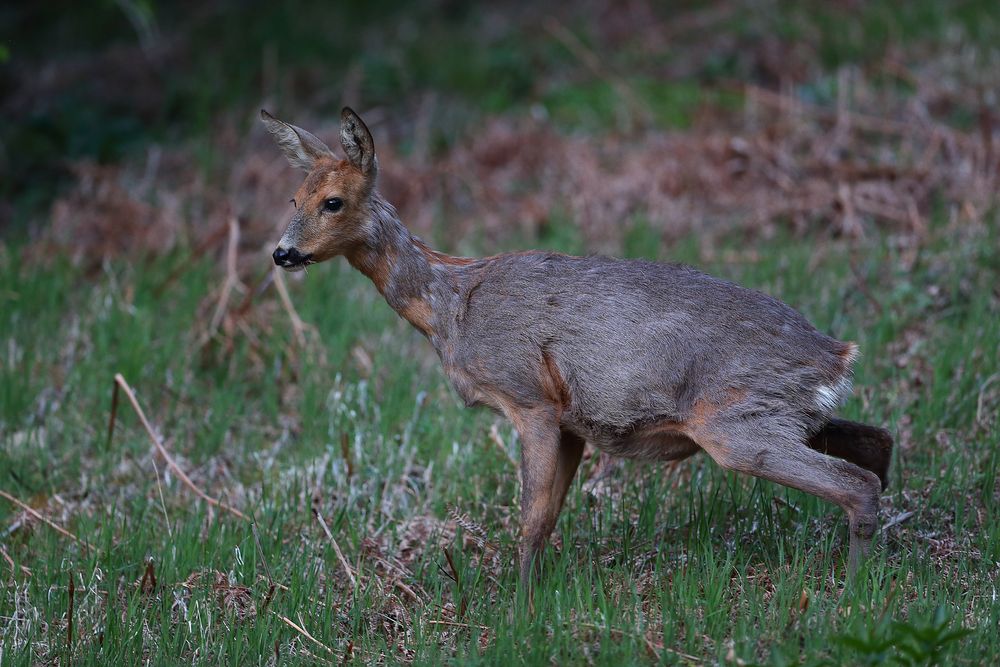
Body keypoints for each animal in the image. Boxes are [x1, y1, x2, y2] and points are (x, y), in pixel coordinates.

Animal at [262, 107, 896, 588]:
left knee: (858, 483)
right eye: (294, 198)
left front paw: (517, 611)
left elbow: (530, 522)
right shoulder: (570, 421)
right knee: (879, 444)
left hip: (736, 420)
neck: (451, 306)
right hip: (781, 413)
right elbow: (545, 519)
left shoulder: (530, 399)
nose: (282, 253)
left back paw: (854, 592)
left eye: (334, 201)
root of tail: (835, 354)